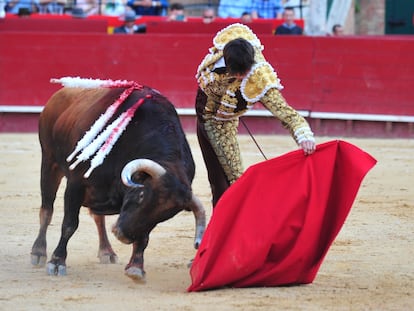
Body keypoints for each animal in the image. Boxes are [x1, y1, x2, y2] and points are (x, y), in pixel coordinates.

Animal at [31, 78, 207, 282]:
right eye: (141, 195)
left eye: (165, 216)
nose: (122, 235)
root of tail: (59, 94)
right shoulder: (76, 184)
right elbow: (69, 224)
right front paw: (57, 262)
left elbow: (143, 236)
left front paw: (136, 267)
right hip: (49, 162)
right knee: (47, 209)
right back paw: (38, 252)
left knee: (98, 218)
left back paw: (106, 251)